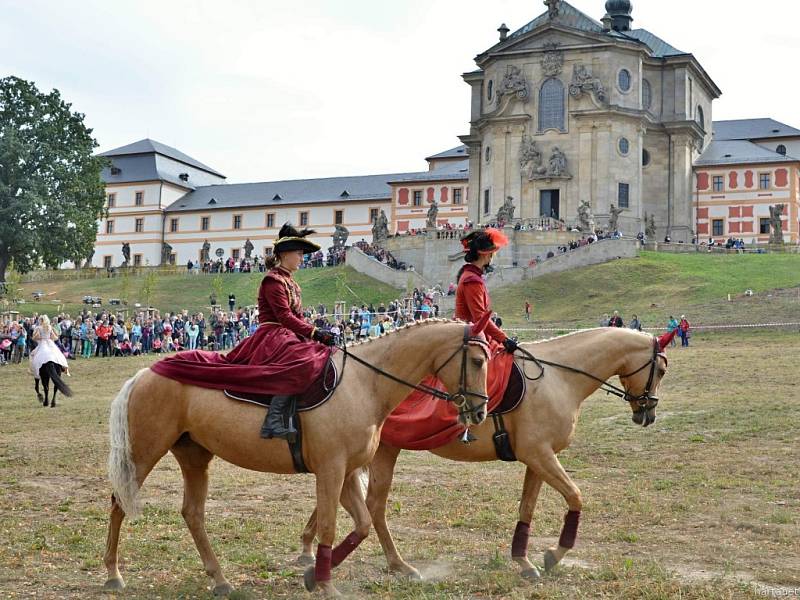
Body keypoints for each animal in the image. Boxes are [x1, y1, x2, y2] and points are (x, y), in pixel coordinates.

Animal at [103, 318, 490, 596]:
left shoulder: (347, 472)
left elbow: (363, 524)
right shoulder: (331, 470)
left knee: (192, 514)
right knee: (119, 504)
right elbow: (331, 525)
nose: (480, 412)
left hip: (194, 457)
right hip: (144, 454)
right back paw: (113, 574)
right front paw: (325, 584)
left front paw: (314, 575)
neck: (363, 383)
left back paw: (220, 579)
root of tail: (144, 374)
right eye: (476, 361)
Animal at [298, 328, 668, 580]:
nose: (648, 413)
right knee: (371, 504)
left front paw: (523, 560)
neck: (559, 376)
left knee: (342, 499)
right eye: (661, 370)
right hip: (381, 452)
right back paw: (388, 562)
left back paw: (308, 549)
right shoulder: (540, 455)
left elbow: (527, 507)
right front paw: (553, 554)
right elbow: (575, 496)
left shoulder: (537, 459)